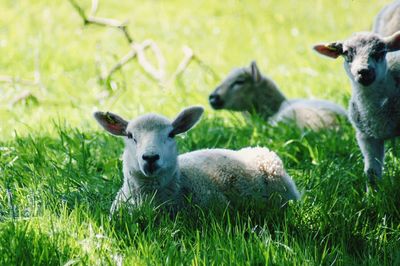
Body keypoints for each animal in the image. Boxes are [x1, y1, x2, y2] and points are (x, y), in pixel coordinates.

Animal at [314, 30, 400, 189]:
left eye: (380, 52)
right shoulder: (366, 136)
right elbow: (371, 172)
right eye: (346, 53)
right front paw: (373, 194)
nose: (364, 71)